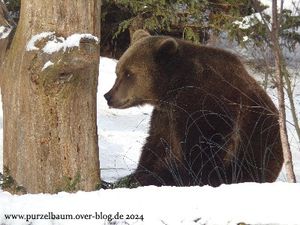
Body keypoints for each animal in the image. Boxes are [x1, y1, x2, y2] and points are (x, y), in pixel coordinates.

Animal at [103, 29, 284, 186]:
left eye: (129, 74)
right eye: (118, 71)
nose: (108, 96)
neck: (174, 86)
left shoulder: (205, 108)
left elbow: (201, 156)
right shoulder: (167, 115)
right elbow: (155, 146)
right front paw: (132, 177)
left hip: (257, 150)